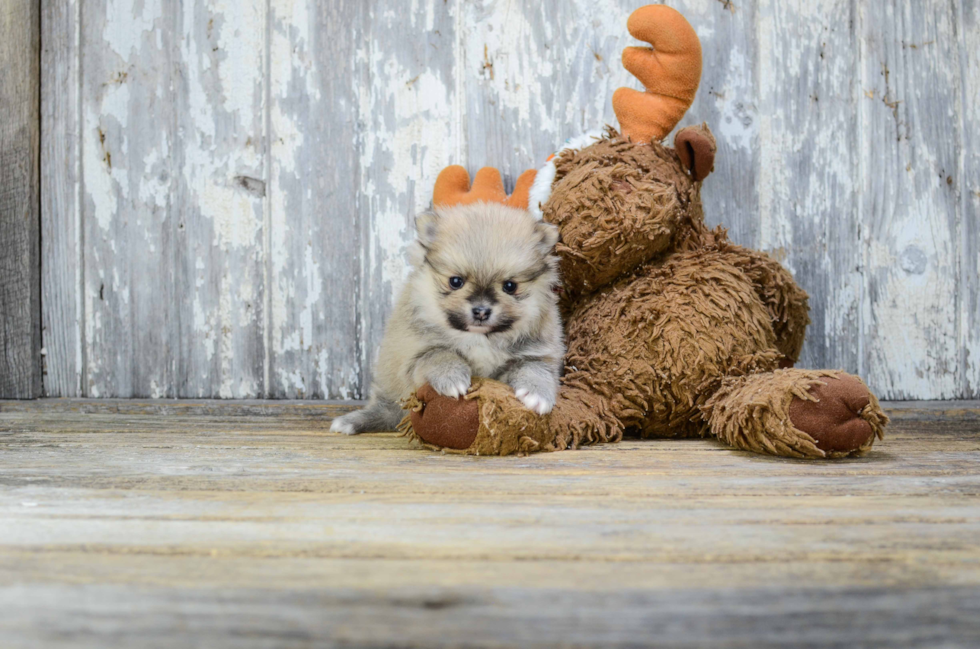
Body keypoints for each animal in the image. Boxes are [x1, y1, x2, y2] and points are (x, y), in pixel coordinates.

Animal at [330, 204, 564, 436]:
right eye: (455, 281)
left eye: (509, 286)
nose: (481, 311)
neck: (478, 338)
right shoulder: (412, 356)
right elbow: (438, 353)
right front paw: (452, 378)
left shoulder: (538, 354)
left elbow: (534, 369)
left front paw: (537, 394)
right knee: (385, 407)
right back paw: (354, 421)